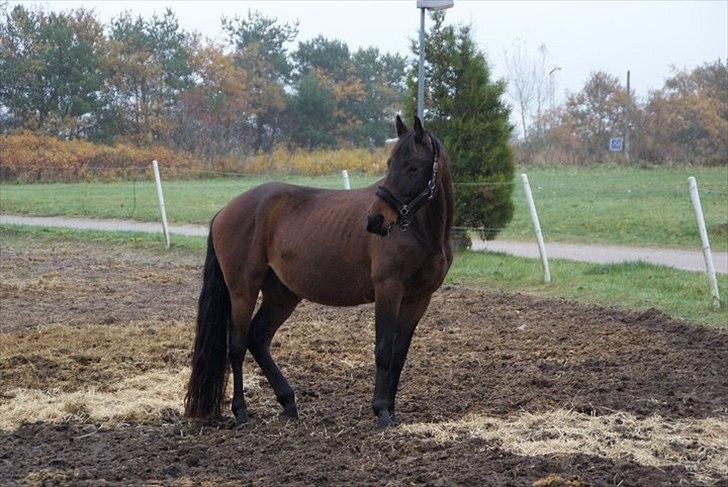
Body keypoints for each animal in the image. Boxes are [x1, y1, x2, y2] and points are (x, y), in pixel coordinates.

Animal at [185, 116, 452, 428]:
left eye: (413, 167)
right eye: (389, 163)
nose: (376, 220)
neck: (421, 233)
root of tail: (224, 211)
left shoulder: (417, 300)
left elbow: (399, 354)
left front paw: (392, 411)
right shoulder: (388, 290)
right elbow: (384, 350)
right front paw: (381, 412)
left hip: (282, 296)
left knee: (258, 339)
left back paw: (288, 402)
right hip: (243, 291)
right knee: (237, 346)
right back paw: (241, 412)